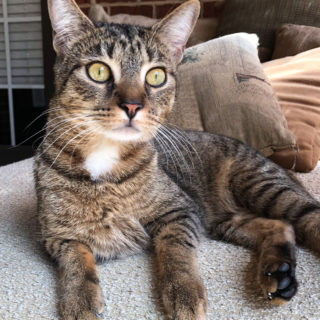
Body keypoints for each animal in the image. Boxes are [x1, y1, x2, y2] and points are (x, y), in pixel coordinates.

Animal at [34, 0, 320, 320]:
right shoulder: (56, 234)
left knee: (308, 217)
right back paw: (278, 273)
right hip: (224, 219)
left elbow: (175, 249)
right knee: (281, 226)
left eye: (156, 76)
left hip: (262, 186)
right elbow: (74, 259)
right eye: (98, 71)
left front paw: (183, 290)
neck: (104, 160)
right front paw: (79, 298)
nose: (132, 106)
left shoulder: (180, 211)